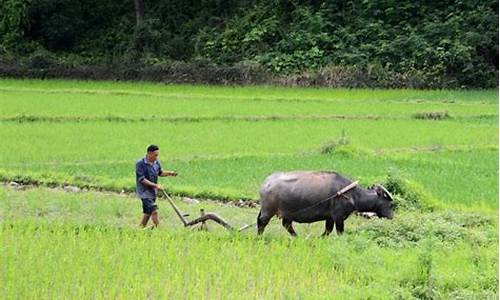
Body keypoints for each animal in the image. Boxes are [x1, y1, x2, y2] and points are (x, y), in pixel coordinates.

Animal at [258, 171, 394, 237]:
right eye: (391, 205)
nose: (392, 216)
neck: (353, 195)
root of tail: (266, 183)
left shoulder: (330, 217)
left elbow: (328, 230)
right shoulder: (338, 217)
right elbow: (339, 232)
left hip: (287, 213)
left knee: (286, 225)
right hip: (268, 211)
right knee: (262, 223)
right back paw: (259, 237)